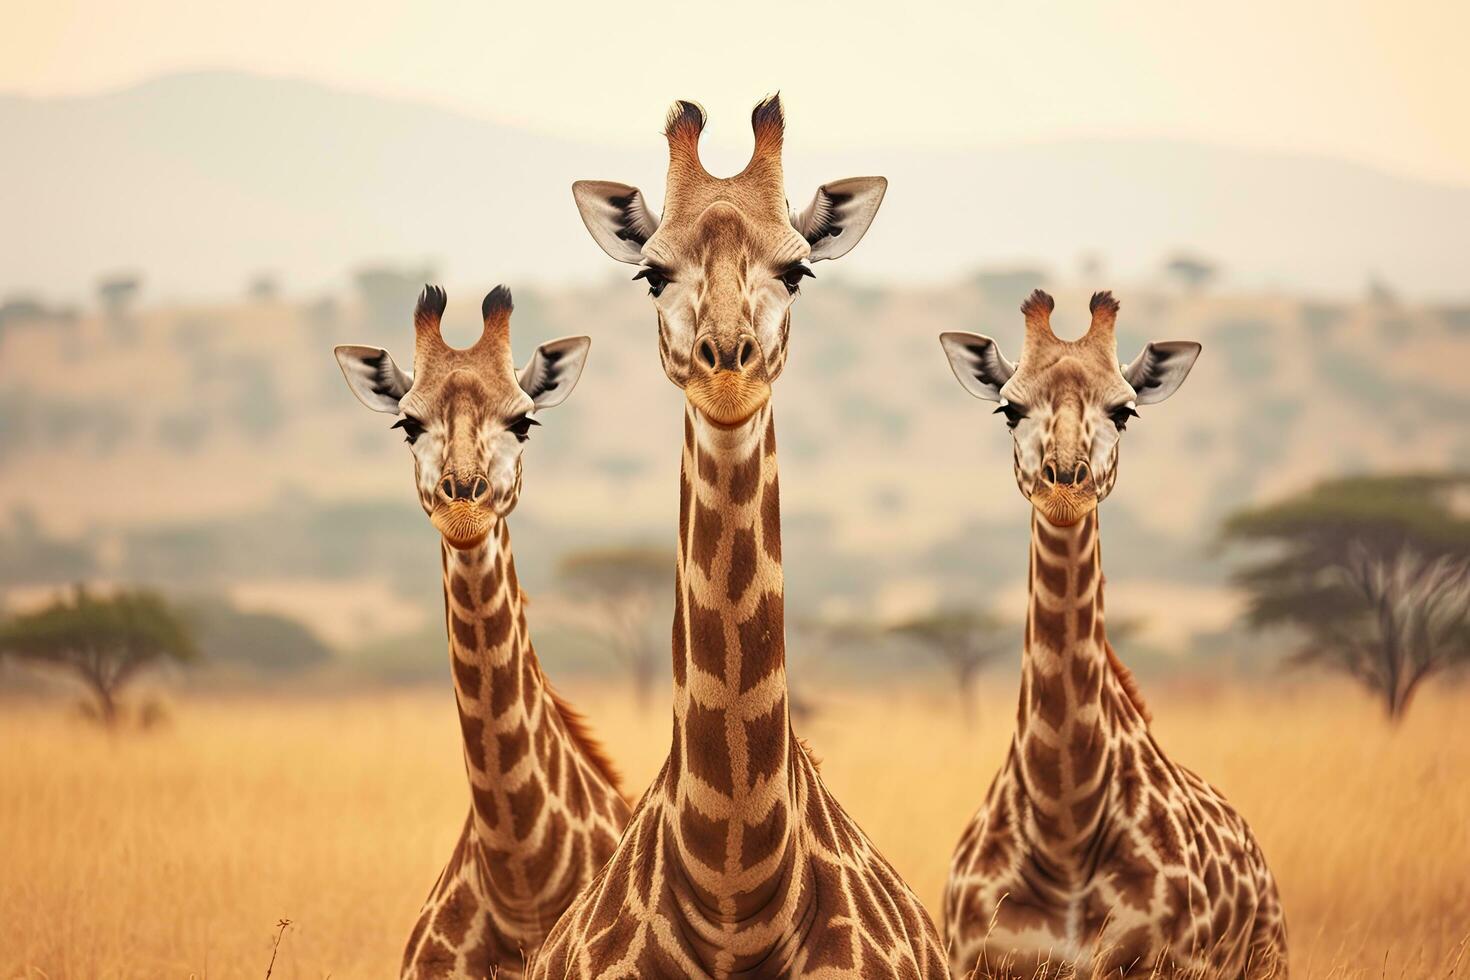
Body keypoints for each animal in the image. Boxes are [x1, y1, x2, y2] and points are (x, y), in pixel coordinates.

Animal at [934, 287, 1281, 975]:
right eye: (1009, 409)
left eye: (1124, 412)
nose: (1064, 485)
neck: (1064, 825)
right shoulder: (975, 960)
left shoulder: (1168, 963)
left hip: (1271, 956)